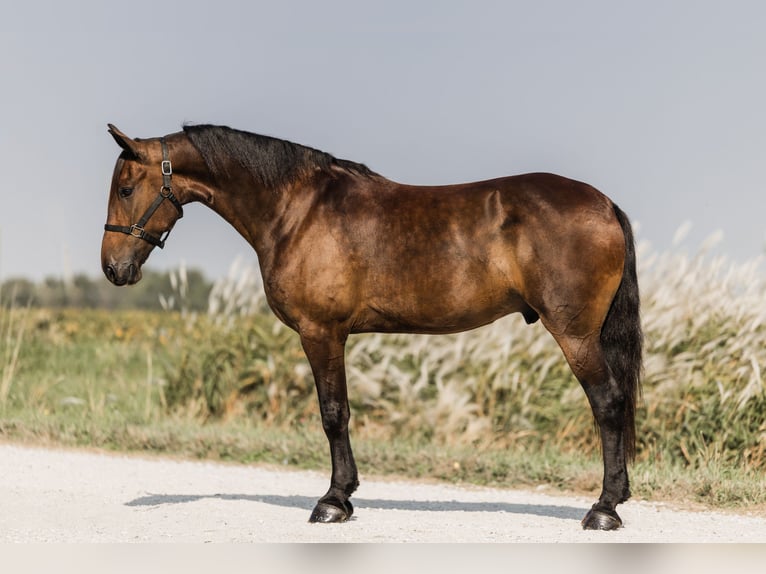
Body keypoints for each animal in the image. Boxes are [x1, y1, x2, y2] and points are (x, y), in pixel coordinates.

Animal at [101, 123, 642, 530]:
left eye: (126, 189)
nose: (112, 268)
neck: (297, 209)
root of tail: (604, 204)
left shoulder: (321, 333)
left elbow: (333, 414)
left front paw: (334, 501)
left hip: (575, 335)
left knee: (608, 404)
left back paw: (603, 509)